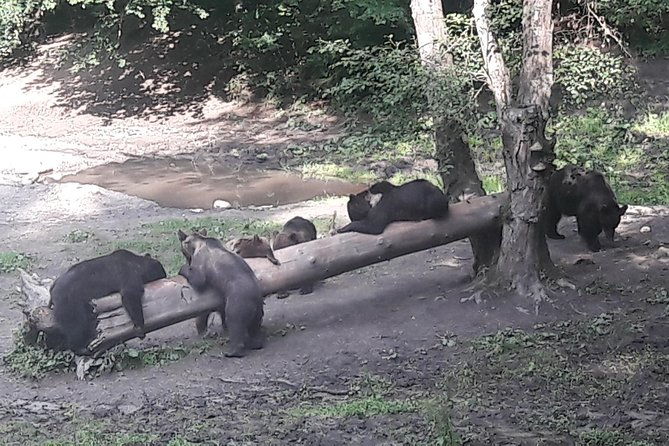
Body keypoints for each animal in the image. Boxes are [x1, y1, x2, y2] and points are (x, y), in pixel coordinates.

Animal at [177, 229, 264, 357]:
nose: (183, 254)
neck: (198, 242)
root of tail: (256, 299)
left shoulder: (200, 263)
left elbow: (198, 279)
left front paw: (183, 268)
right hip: (258, 310)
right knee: (255, 327)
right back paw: (255, 343)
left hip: (237, 303)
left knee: (235, 323)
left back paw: (232, 352)